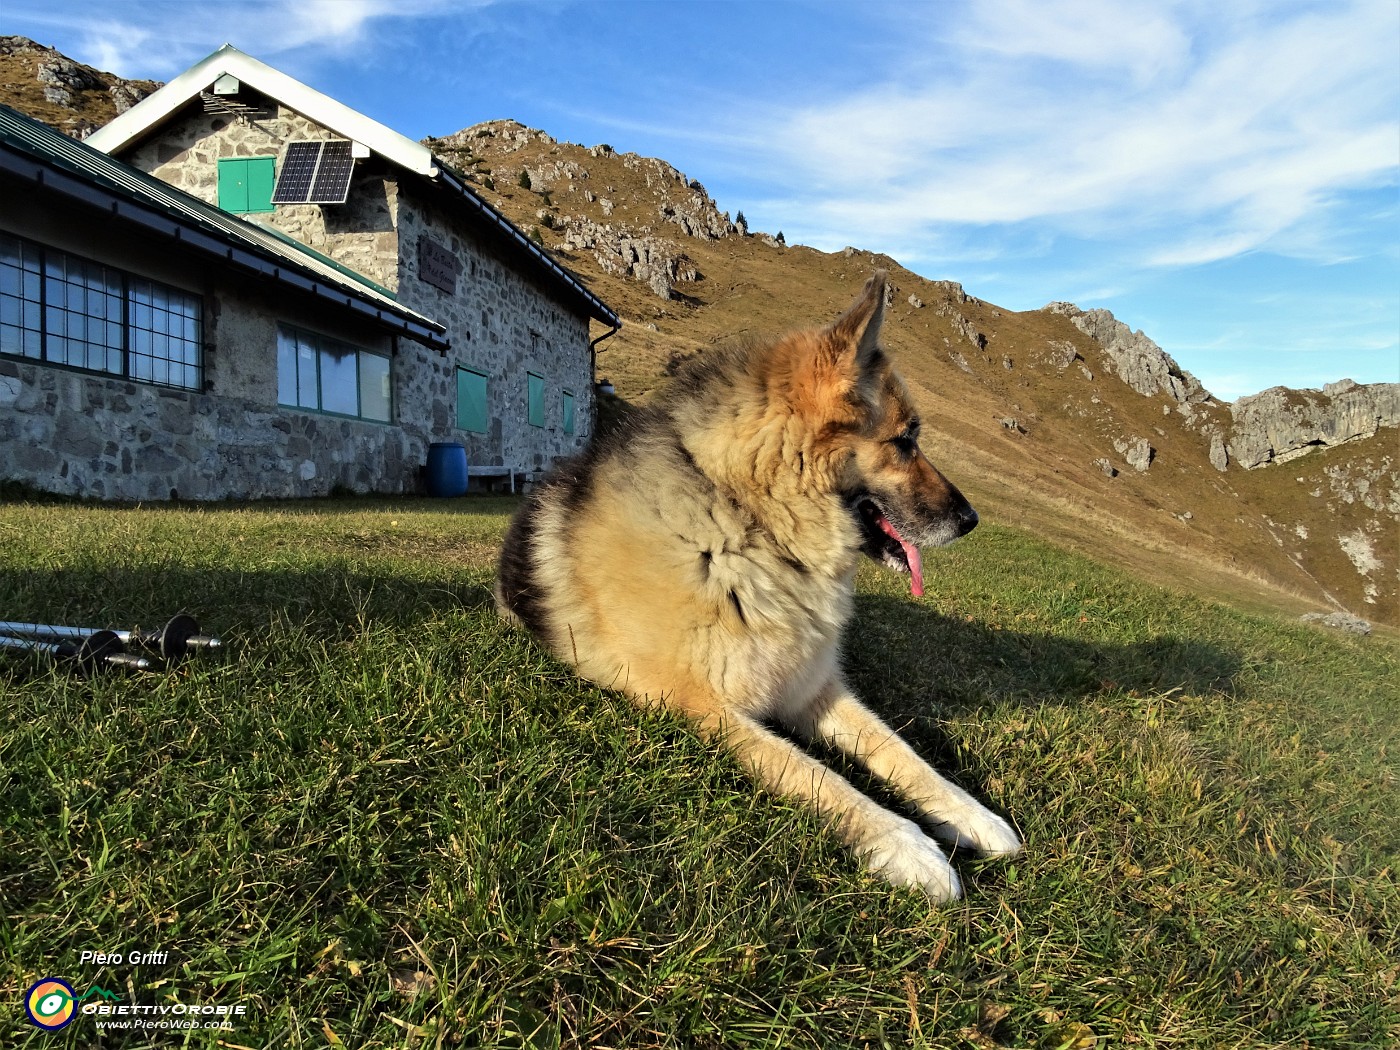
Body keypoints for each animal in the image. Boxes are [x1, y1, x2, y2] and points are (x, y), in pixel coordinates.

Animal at [498, 273, 1024, 907]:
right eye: (905, 442)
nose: (971, 520)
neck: (751, 526)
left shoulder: (812, 690)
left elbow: (901, 752)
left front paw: (973, 815)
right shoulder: (702, 707)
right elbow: (812, 773)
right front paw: (904, 845)